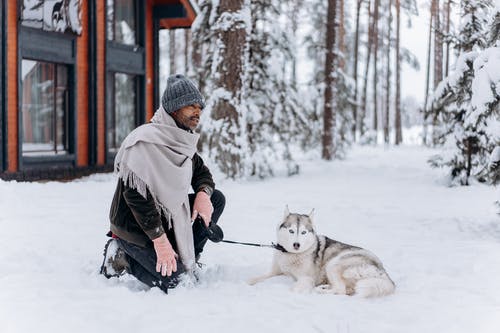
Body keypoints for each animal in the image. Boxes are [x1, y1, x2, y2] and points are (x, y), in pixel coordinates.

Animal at [248, 206, 396, 296]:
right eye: (291, 231)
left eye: (303, 232)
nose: (296, 244)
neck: (291, 255)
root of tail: (383, 272)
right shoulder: (275, 272)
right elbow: (255, 278)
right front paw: (249, 282)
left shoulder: (306, 278)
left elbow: (294, 289)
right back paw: (324, 287)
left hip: (335, 264)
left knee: (340, 290)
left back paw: (319, 290)